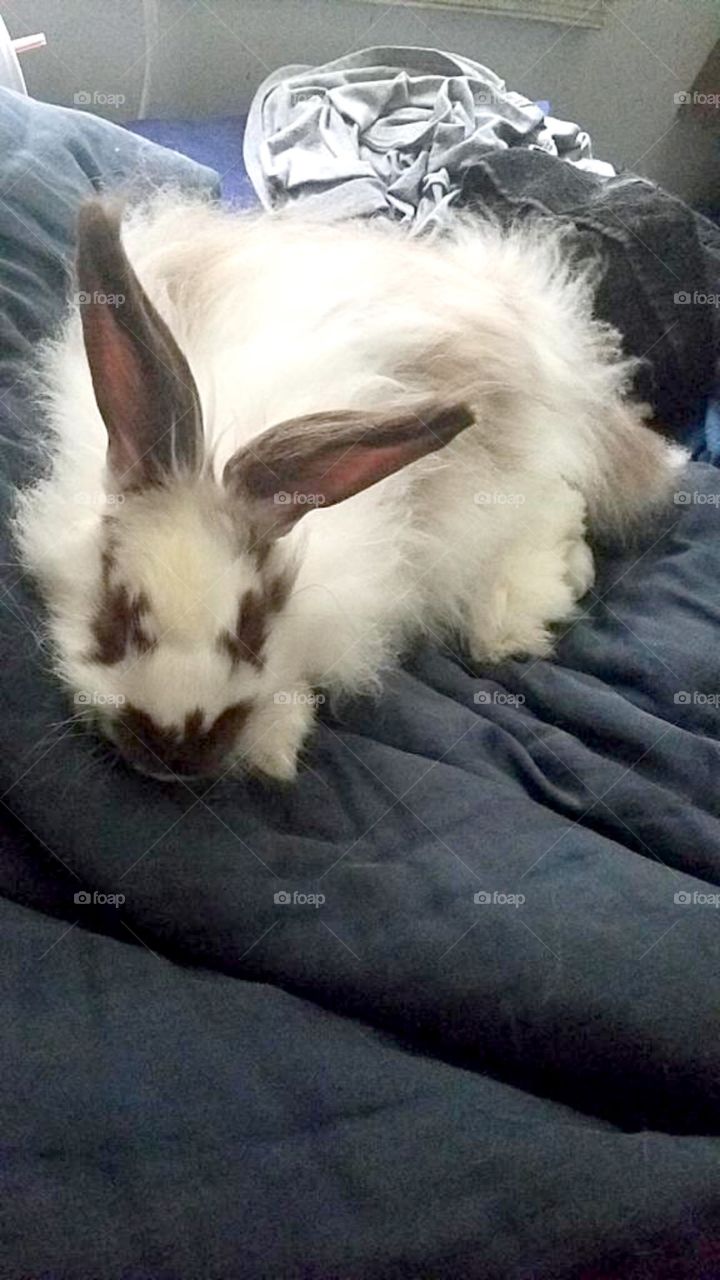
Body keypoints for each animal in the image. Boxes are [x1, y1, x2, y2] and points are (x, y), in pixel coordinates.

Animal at [14, 192, 685, 783]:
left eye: (252, 630)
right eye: (119, 618)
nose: (173, 755)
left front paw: (272, 746)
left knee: (558, 513)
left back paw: (518, 618)